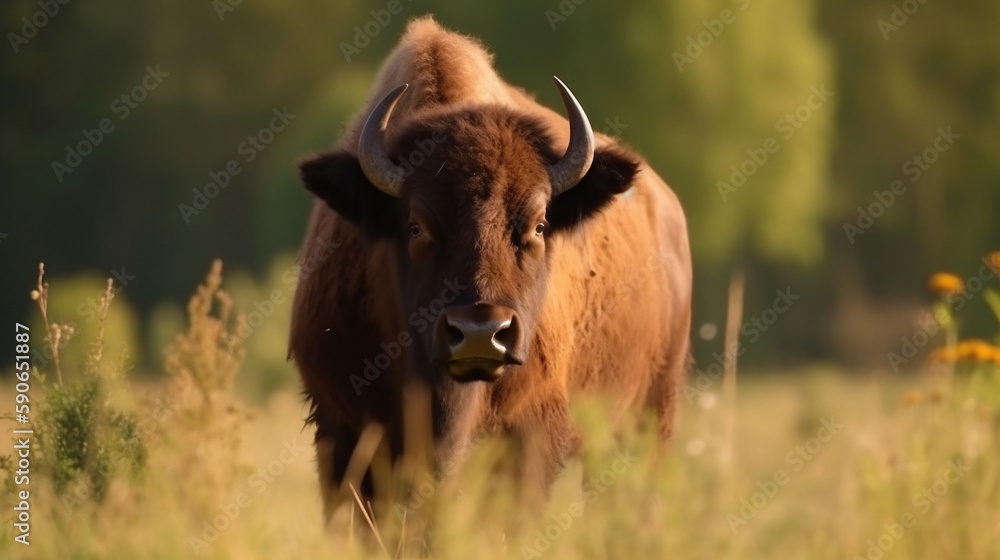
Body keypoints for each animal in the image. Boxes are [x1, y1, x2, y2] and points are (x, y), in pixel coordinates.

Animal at [290, 15, 692, 520]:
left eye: (539, 224)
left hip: (650, 415)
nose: (481, 333)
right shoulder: (343, 430)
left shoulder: (530, 436)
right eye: (416, 225)